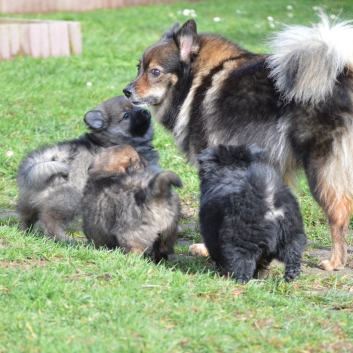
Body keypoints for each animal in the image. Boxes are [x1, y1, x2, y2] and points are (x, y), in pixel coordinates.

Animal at [16, 95, 157, 241]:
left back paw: (25, 231)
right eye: (126, 115)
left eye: (137, 106)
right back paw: (62, 238)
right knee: (49, 217)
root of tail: (37, 162)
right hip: (70, 199)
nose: (145, 111)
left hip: (28, 201)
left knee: (26, 215)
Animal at [123, 14, 352, 270]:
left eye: (155, 72)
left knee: (339, 213)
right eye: (139, 68)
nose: (126, 91)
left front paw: (208, 248)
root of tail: (342, 73)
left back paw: (335, 261)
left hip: (321, 169)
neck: (196, 81)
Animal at [198, 144, 306, 284]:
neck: (234, 169)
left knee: (242, 260)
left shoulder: (210, 228)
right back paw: (291, 276)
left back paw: (240, 279)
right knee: (293, 253)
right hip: (291, 232)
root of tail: (269, 201)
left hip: (242, 237)